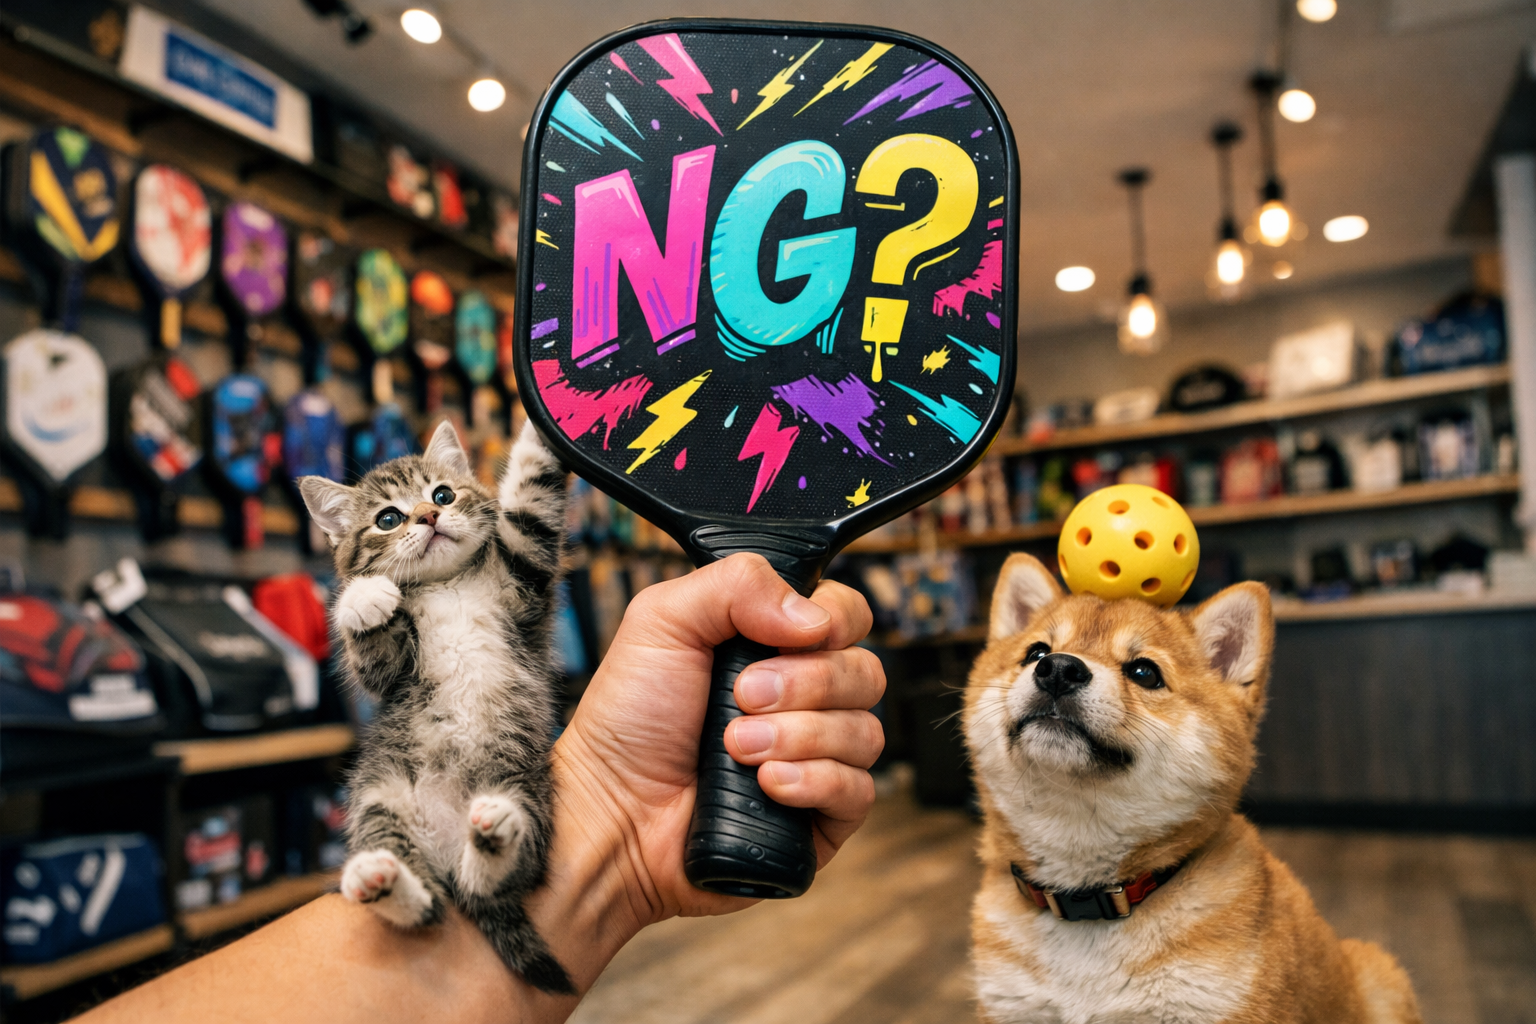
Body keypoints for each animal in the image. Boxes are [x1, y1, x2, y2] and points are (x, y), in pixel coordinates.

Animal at [299, 419, 572, 994]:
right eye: (387, 518)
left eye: (443, 494)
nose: (428, 516)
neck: (447, 584)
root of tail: (444, 851)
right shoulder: (391, 674)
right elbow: (372, 655)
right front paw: (363, 599)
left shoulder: (524, 585)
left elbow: (530, 505)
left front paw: (540, 425)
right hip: (379, 797)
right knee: (431, 904)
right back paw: (379, 879)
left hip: (525, 785)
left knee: (485, 883)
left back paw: (492, 836)